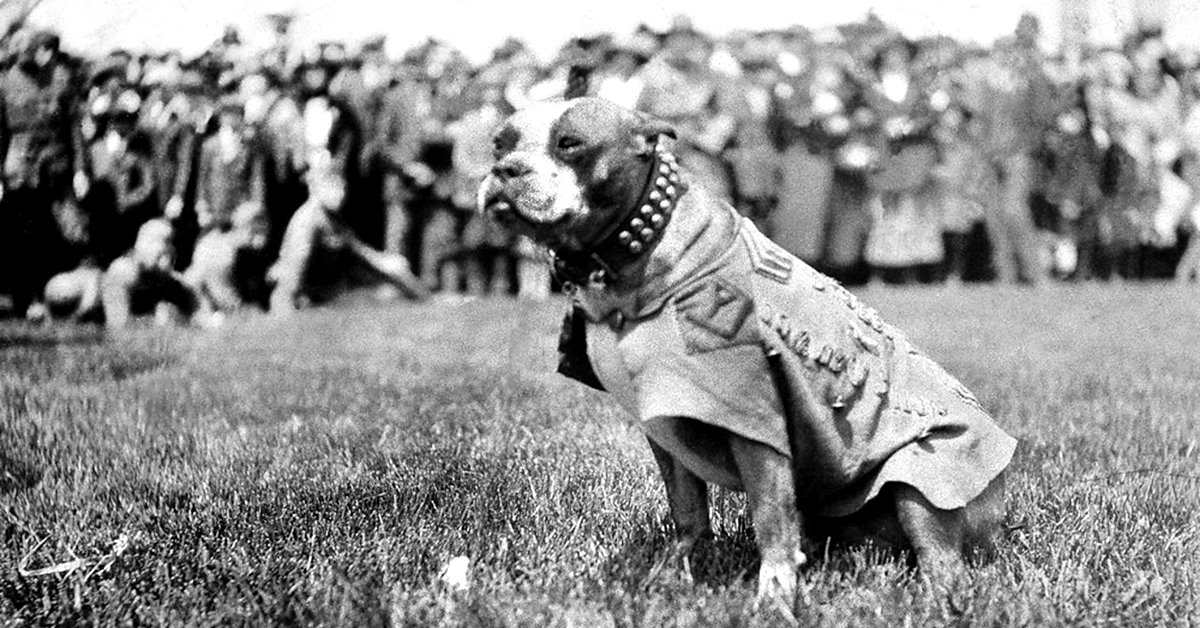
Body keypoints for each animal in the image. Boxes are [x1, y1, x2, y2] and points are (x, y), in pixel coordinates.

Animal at [480, 97, 1022, 600]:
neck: (636, 251)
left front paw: (775, 595)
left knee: (939, 556)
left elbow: (769, 516)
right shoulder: (665, 425)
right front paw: (671, 574)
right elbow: (688, 513)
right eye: (499, 145)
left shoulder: (755, 423)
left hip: (925, 476)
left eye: (570, 144)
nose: (504, 170)